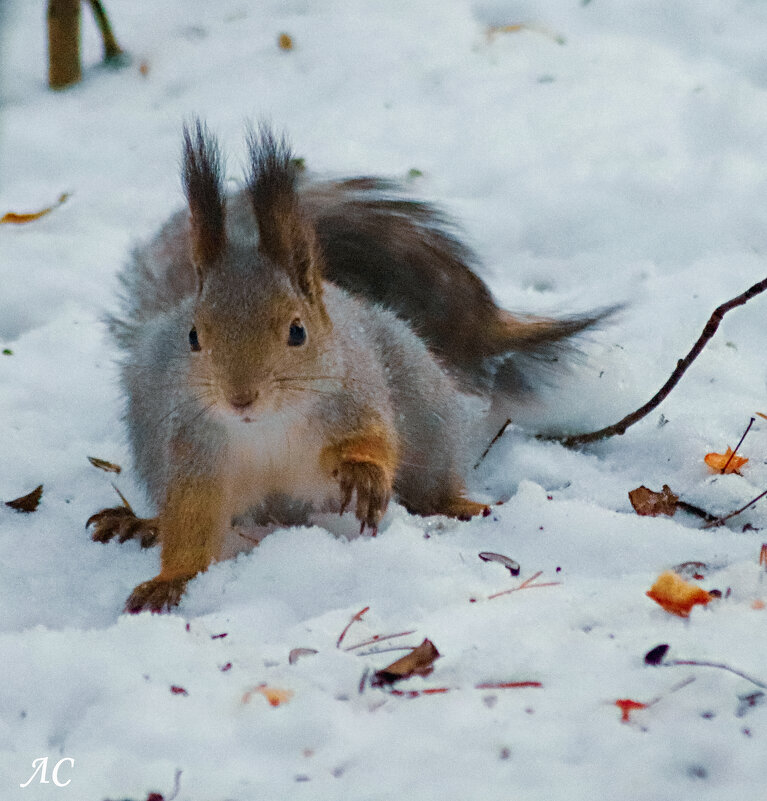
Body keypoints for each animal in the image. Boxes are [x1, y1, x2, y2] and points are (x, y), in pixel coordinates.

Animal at [90, 119, 604, 612]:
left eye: (297, 331)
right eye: (194, 336)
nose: (240, 399)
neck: (268, 426)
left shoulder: (356, 394)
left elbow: (374, 441)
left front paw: (363, 474)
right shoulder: (195, 452)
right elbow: (191, 520)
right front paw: (170, 580)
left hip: (425, 409)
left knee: (429, 487)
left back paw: (460, 505)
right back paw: (141, 522)